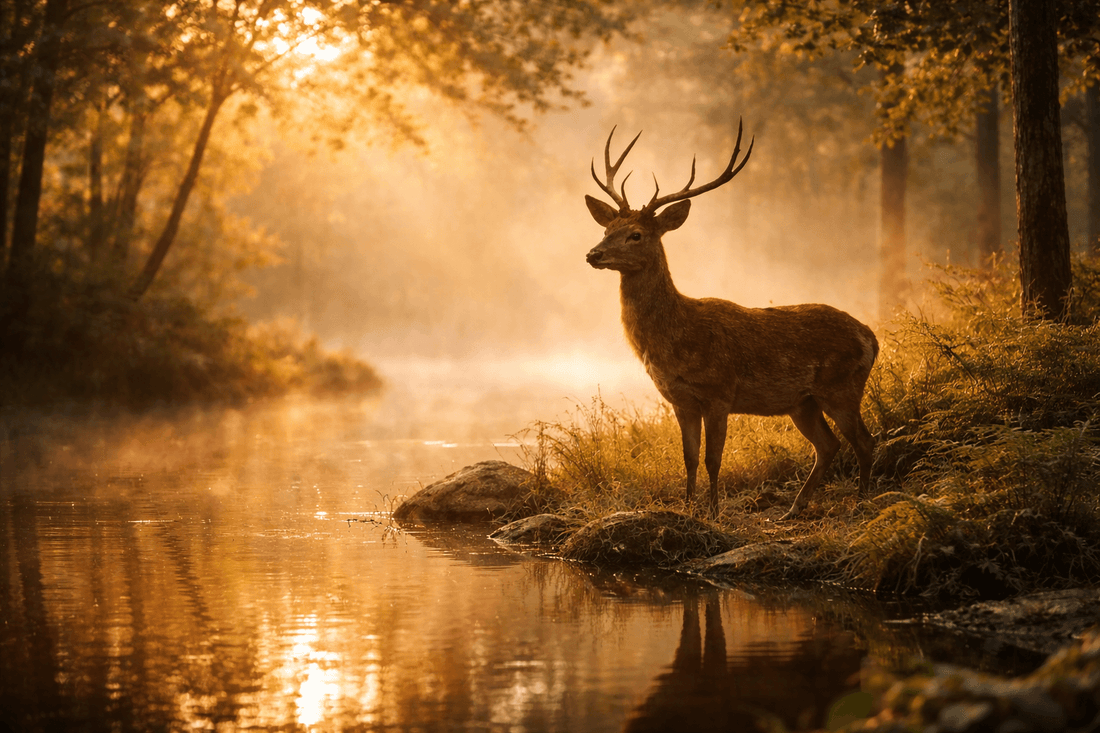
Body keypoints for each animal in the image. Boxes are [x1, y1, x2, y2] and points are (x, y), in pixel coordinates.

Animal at [584, 120, 878, 520]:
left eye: (636, 234)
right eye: (606, 230)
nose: (593, 254)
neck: (677, 339)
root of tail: (872, 337)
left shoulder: (720, 392)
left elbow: (713, 459)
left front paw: (713, 512)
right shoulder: (680, 400)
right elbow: (689, 458)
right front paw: (688, 508)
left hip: (842, 386)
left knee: (865, 440)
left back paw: (861, 502)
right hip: (803, 402)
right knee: (829, 445)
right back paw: (793, 509)